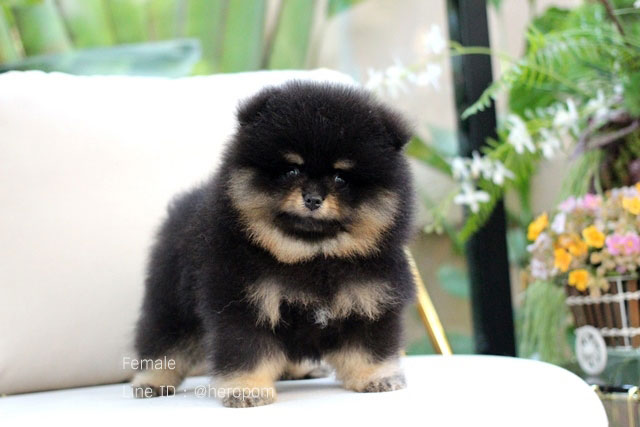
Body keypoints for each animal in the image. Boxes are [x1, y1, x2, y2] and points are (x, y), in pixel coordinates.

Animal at [131, 81, 416, 407]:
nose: (313, 198)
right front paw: (246, 389)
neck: (312, 257)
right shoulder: (242, 303)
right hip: (171, 301)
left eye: (340, 177)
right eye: (291, 170)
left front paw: (376, 377)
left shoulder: (371, 299)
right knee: (164, 341)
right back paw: (151, 381)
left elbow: (369, 346)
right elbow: (246, 352)